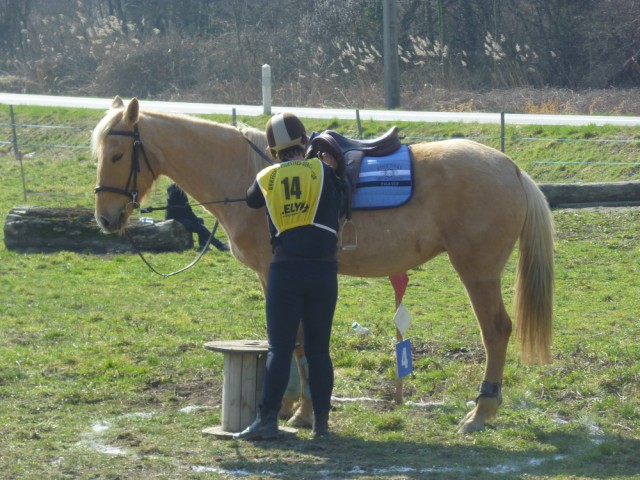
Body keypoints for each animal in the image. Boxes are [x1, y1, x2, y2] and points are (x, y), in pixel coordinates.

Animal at [92, 95, 552, 434]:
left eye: (116, 155)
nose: (106, 218)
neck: (252, 175)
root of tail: (511, 168)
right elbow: (291, 340)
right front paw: (291, 403)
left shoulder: (277, 273)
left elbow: (294, 339)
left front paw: (301, 410)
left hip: (478, 271)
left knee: (496, 331)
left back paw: (482, 412)